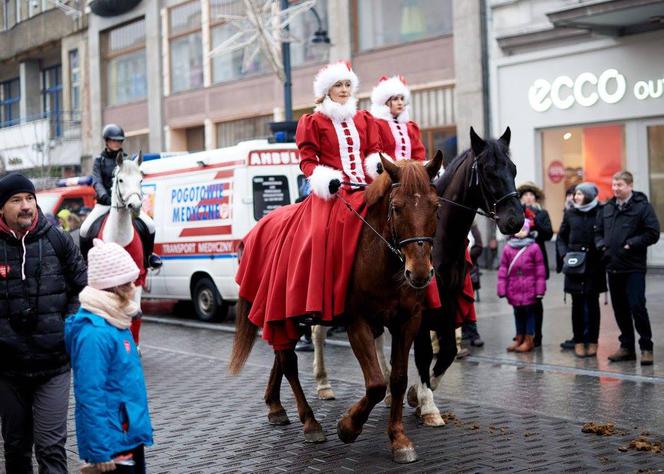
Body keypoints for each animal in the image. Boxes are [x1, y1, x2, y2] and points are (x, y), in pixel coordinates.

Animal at [231, 155, 444, 462]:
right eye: (396, 207)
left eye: (436, 206)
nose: (419, 273)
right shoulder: (357, 322)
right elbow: (376, 384)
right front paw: (348, 426)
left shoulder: (408, 321)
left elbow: (398, 379)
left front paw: (399, 439)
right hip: (281, 312)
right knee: (289, 362)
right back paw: (310, 423)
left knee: (281, 356)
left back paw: (275, 406)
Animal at [410, 126, 524, 422]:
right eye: (488, 171)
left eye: (513, 168)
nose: (516, 220)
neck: (439, 238)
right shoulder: (421, 303)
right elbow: (424, 352)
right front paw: (427, 403)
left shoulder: (448, 298)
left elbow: (448, 350)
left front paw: (416, 393)